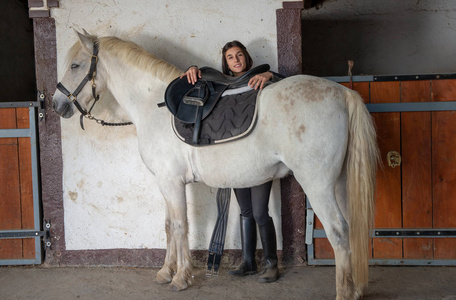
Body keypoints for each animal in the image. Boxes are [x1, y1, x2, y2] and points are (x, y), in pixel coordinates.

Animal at [52, 31, 378, 298]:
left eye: (75, 65)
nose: (57, 105)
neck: (154, 106)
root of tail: (343, 92)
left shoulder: (171, 182)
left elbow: (181, 225)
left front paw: (181, 278)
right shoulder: (165, 183)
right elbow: (169, 225)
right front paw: (165, 272)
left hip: (317, 184)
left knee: (338, 233)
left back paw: (343, 293)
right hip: (340, 183)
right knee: (351, 230)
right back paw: (354, 289)